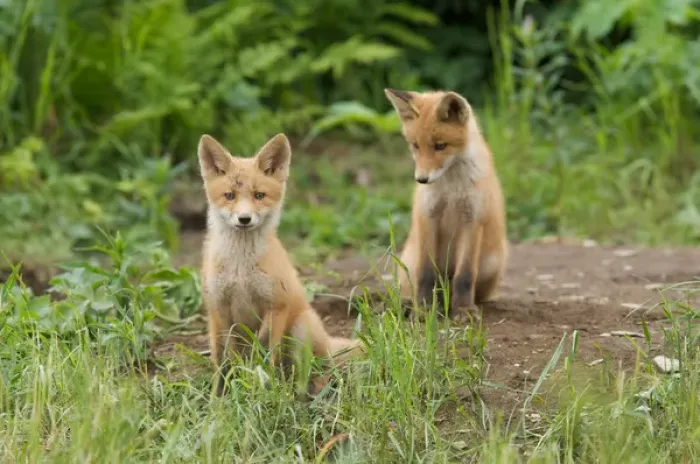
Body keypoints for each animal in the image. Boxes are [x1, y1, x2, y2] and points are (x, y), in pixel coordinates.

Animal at [197, 133, 363, 394]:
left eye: (259, 195)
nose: (244, 219)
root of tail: (327, 341)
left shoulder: (276, 305)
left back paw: (304, 391)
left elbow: (266, 352)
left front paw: (267, 391)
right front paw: (219, 397)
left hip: (300, 330)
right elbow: (223, 362)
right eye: (230, 196)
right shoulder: (217, 308)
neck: (240, 270)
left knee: (315, 371)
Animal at [384, 88, 508, 322]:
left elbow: (465, 276)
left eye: (440, 146)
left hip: (492, 262)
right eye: (415, 145)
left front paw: (463, 310)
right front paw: (423, 310)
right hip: (409, 260)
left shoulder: (472, 220)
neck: (451, 190)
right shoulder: (427, 216)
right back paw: (413, 303)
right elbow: (425, 274)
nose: (421, 180)